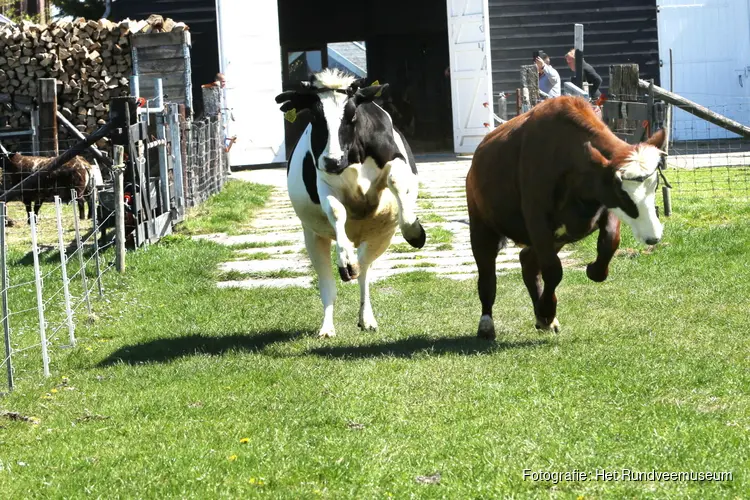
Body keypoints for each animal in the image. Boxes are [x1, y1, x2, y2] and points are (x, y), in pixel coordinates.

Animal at [278, 68, 428, 338]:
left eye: (352, 115)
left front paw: (414, 231)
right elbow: (336, 211)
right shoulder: (323, 180)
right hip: (313, 237)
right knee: (328, 283)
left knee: (365, 272)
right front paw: (345, 260)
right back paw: (328, 326)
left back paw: (366, 318)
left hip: (379, 236)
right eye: (315, 117)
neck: (353, 156)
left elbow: (396, 180)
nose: (333, 160)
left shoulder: (394, 159)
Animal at [470, 96, 668, 340]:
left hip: (558, 237)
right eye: (623, 192)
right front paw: (547, 311)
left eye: (655, 184)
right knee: (487, 276)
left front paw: (592, 270)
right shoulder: (538, 221)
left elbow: (610, 242)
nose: (653, 237)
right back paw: (487, 324)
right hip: (482, 226)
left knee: (528, 260)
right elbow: (553, 270)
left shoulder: (605, 204)